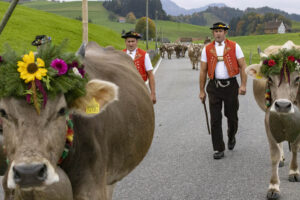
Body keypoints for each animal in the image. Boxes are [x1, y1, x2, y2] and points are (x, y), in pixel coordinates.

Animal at [246, 39, 300, 199]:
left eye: (298, 78)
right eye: (269, 78)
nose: (282, 105)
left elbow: (295, 146)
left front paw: (294, 171)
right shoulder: (268, 119)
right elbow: (274, 154)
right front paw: (274, 186)